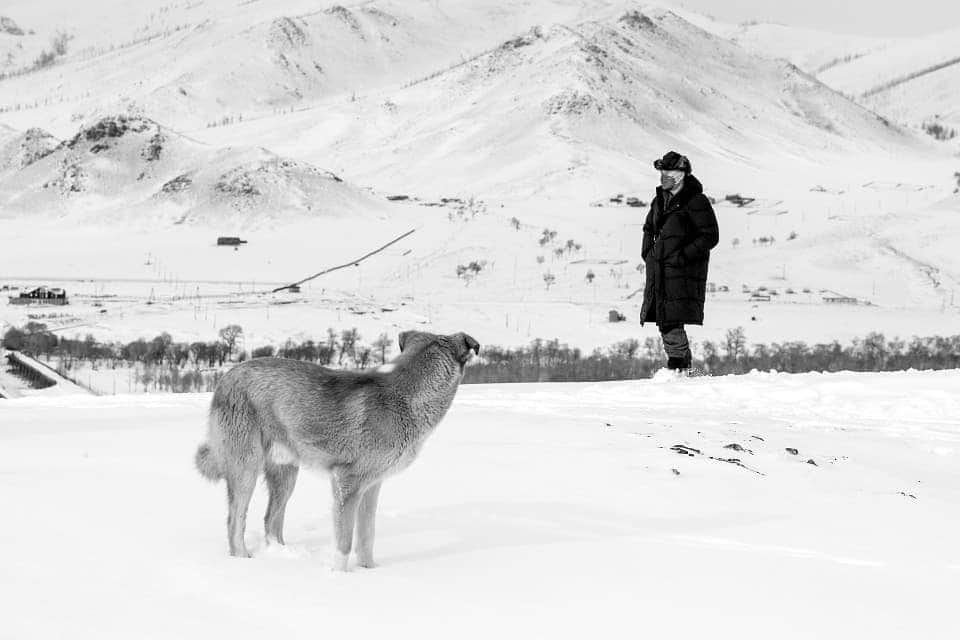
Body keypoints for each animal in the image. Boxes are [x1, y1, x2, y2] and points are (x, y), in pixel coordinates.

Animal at [195, 330, 480, 568]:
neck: (406, 396)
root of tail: (226, 377)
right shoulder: (347, 483)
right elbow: (344, 542)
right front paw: (340, 578)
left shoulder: (372, 487)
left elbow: (367, 537)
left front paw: (369, 571)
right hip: (246, 469)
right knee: (235, 520)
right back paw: (243, 561)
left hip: (286, 474)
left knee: (270, 520)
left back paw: (281, 555)